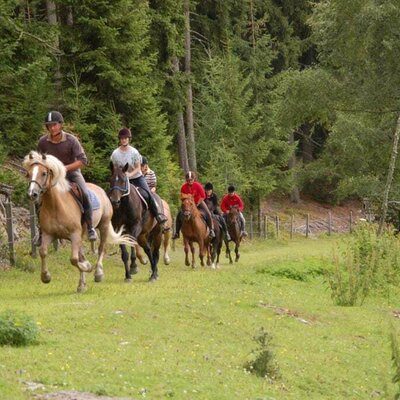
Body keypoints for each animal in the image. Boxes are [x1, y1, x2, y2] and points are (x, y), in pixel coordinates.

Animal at [23, 152, 136, 292]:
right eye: (28, 173)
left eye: (44, 173)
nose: (32, 194)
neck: (56, 205)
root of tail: (102, 191)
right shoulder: (49, 234)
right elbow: (43, 252)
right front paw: (46, 277)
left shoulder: (74, 234)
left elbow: (74, 259)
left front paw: (87, 266)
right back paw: (82, 284)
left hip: (103, 225)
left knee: (101, 249)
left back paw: (98, 273)